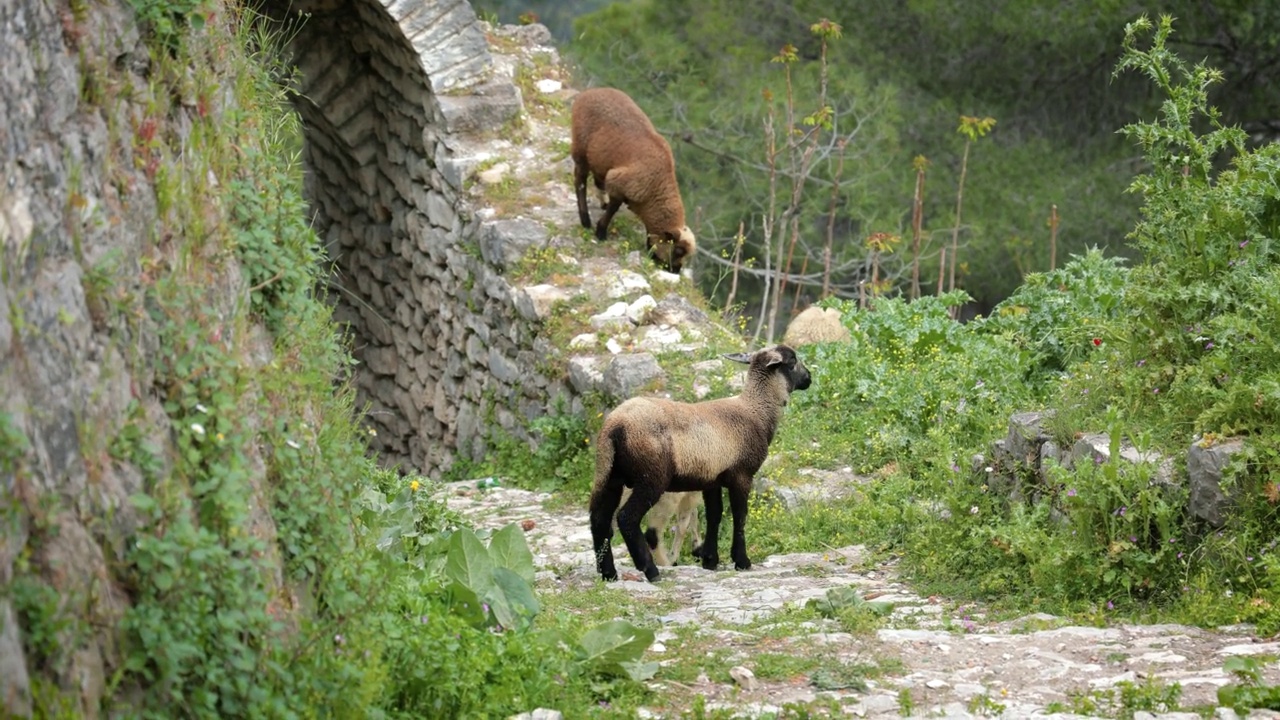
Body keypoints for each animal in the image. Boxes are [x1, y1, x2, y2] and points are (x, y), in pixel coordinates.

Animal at [570, 87, 696, 271]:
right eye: (678, 250)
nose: (676, 270)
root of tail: (588, 92)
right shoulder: (618, 182)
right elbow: (613, 209)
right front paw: (601, 232)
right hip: (581, 148)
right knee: (580, 182)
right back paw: (585, 219)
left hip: (599, 159)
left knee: (597, 181)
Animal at [588, 343, 808, 584]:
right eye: (792, 361)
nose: (808, 378)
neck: (756, 410)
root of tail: (615, 426)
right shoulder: (742, 475)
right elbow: (740, 515)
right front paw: (742, 561)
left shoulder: (712, 479)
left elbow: (715, 515)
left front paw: (710, 560)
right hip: (651, 477)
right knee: (627, 518)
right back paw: (651, 571)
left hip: (609, 474)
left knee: (599, 521)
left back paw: (608, 574)